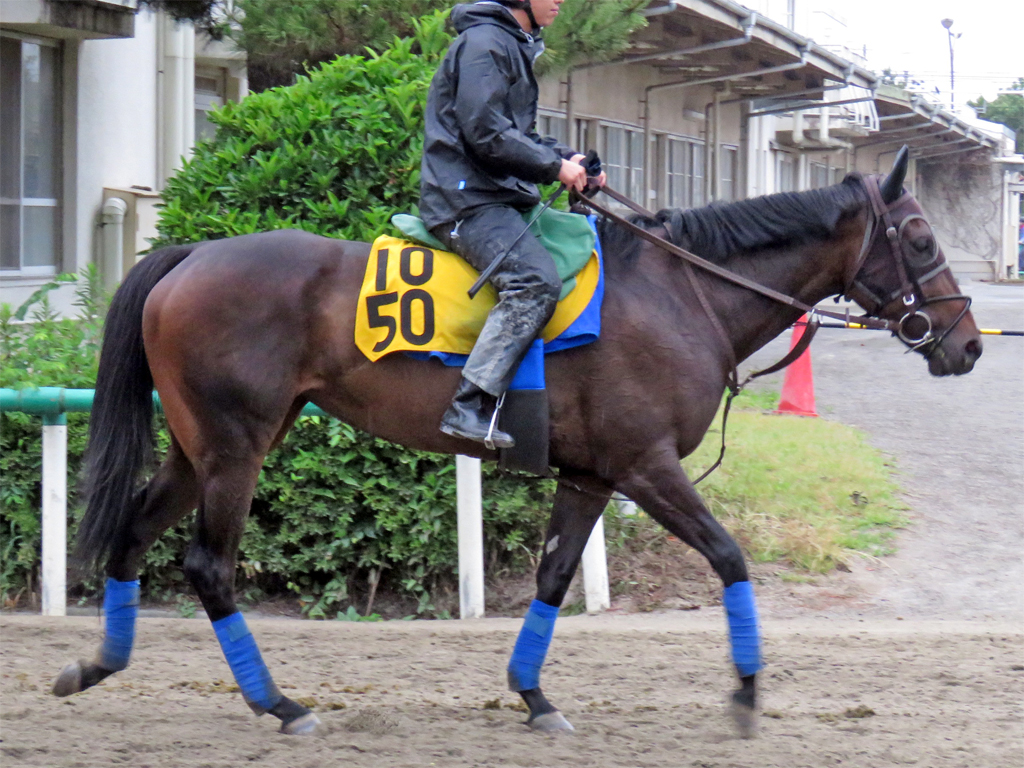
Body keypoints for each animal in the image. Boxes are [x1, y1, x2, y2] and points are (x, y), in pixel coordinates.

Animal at [54, 150, 974, 741]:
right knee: (208, 567)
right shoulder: (646, 467)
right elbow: (729, 557)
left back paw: (97, 665)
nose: (966, 345)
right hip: (235, 450)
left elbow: (554, 578)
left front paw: (533, 697)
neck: (683, 291)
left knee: (133, 534)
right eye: (921, 239)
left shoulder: (594, 475)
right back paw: (280, 705)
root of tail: (188, 256)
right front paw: (747, 692)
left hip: (201, 448)